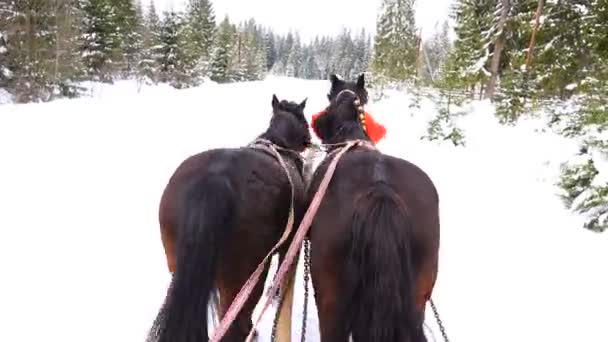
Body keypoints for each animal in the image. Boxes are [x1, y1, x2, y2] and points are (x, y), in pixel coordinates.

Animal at [149, 94, 312, 342]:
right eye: (304, 119)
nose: (309, 140)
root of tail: (215, 178)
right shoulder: (291, 243)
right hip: (247, 278)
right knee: (237, 323)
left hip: (179, 264)